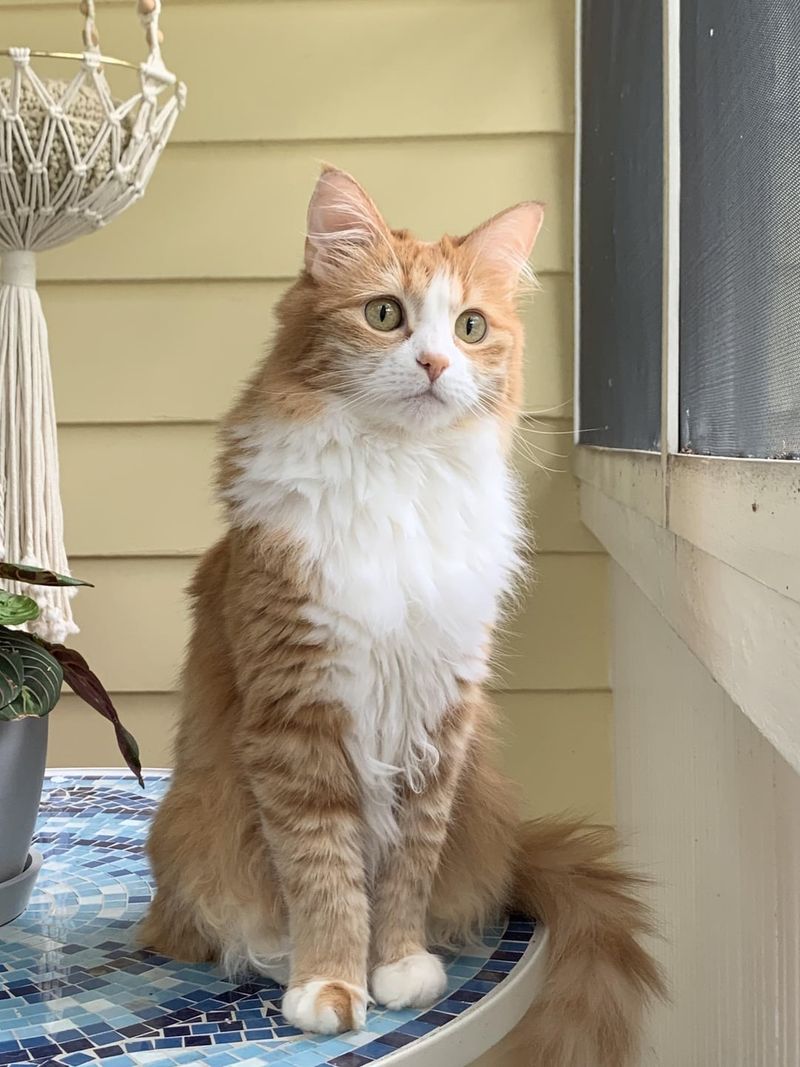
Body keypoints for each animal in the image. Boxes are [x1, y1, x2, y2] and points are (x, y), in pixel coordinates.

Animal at [142, 168, 665, 1067]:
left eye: (471, 326)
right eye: (384, 313)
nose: (433, 361)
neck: (398, 469)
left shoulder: (437, 712)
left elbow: (408, 864)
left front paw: (398, 963)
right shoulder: (299, 714)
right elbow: (324, 868)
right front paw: (329, 980)